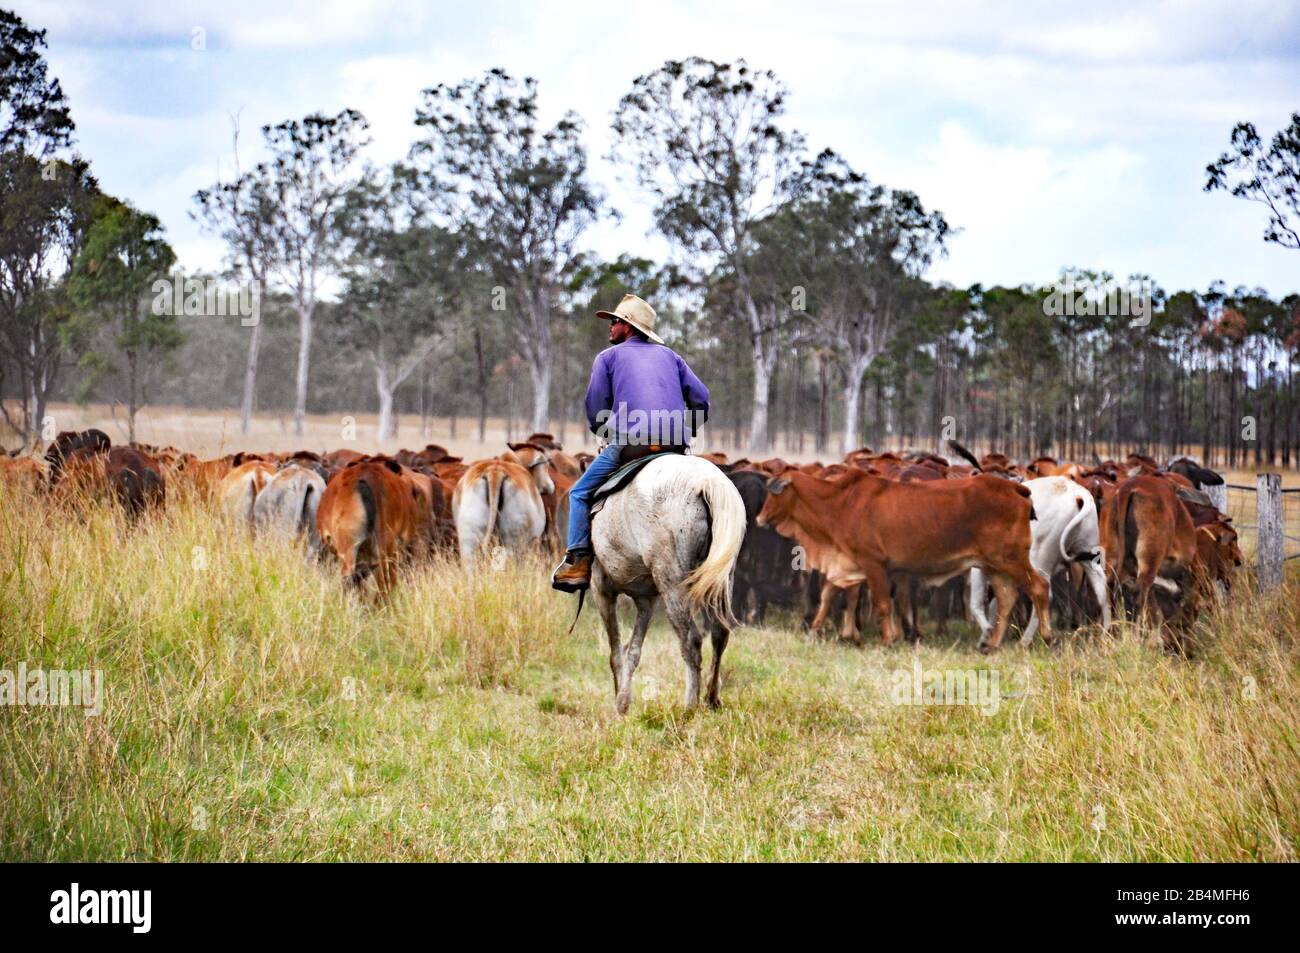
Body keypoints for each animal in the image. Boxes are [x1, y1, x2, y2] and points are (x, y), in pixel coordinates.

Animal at [758, 469, 1050, 651]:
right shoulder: (850, 563)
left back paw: (1045, 637)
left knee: (1039, 587)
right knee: (1007, 598)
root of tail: (1016, 487)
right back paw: (992, 645)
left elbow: (883, 604)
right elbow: (828, 595)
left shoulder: (873, 563)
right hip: (994, 565)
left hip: (1011, 559)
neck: (840, 502)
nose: (759, 518)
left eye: (773, 493)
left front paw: (888, 640)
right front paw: (815, 629)